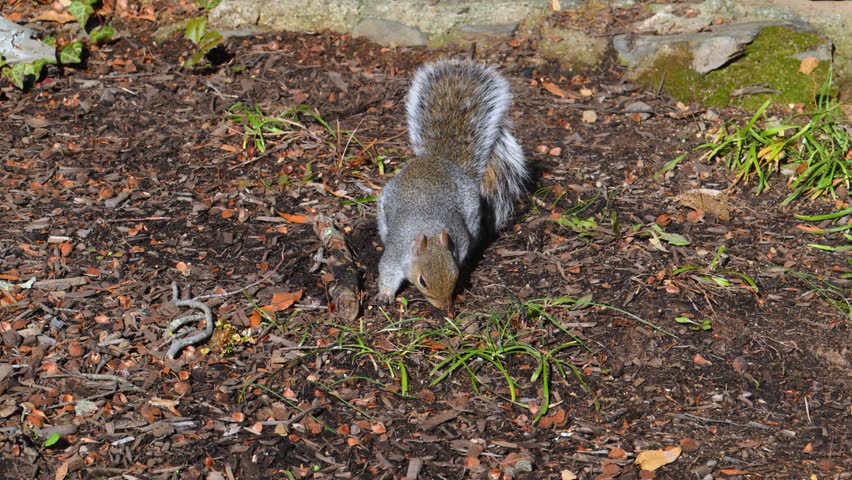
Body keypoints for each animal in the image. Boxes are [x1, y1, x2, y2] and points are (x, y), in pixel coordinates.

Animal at [376, 59, 528, 315]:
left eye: (454, 275)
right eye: (423, 281)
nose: (445, 307)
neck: (427, 229)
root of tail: (437, 159)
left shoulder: (460, 240)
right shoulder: (395, 254)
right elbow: (387, 273)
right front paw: (385, 295)